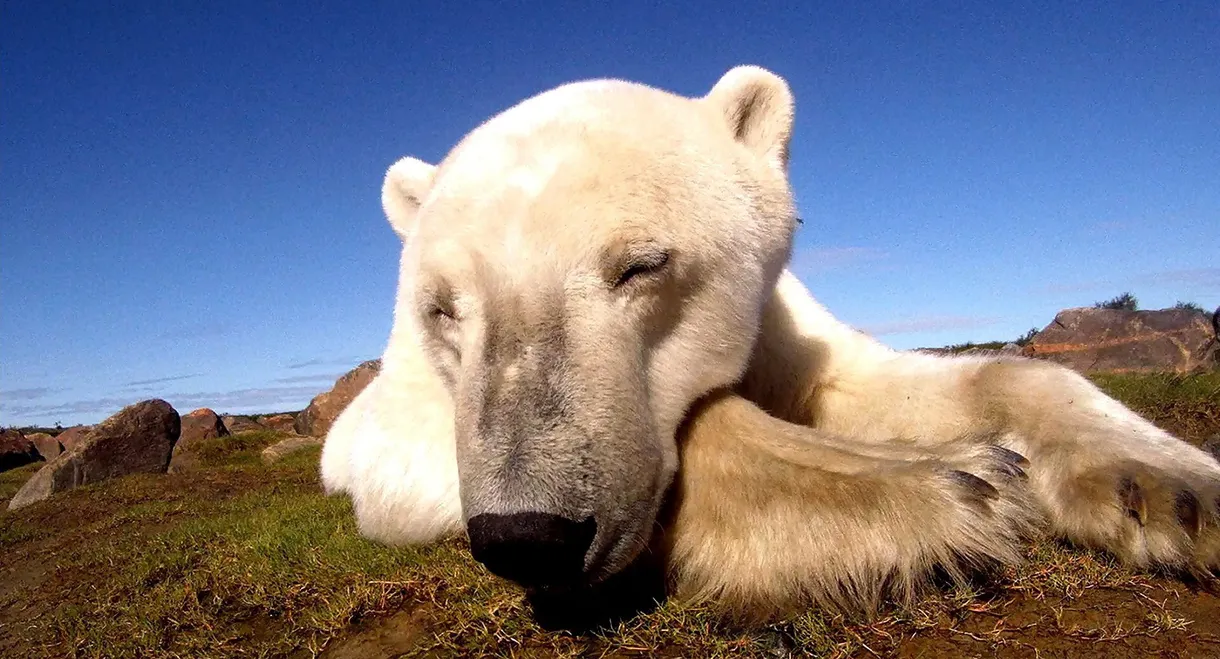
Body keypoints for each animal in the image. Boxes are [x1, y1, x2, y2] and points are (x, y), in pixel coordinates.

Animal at [320, 65, 1220, 623]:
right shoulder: (397, 419)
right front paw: (951, 485)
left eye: (642, 264)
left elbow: (880, 382)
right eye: (442, 309)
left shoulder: (781, 320)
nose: (526, 534)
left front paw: (1175, 493)